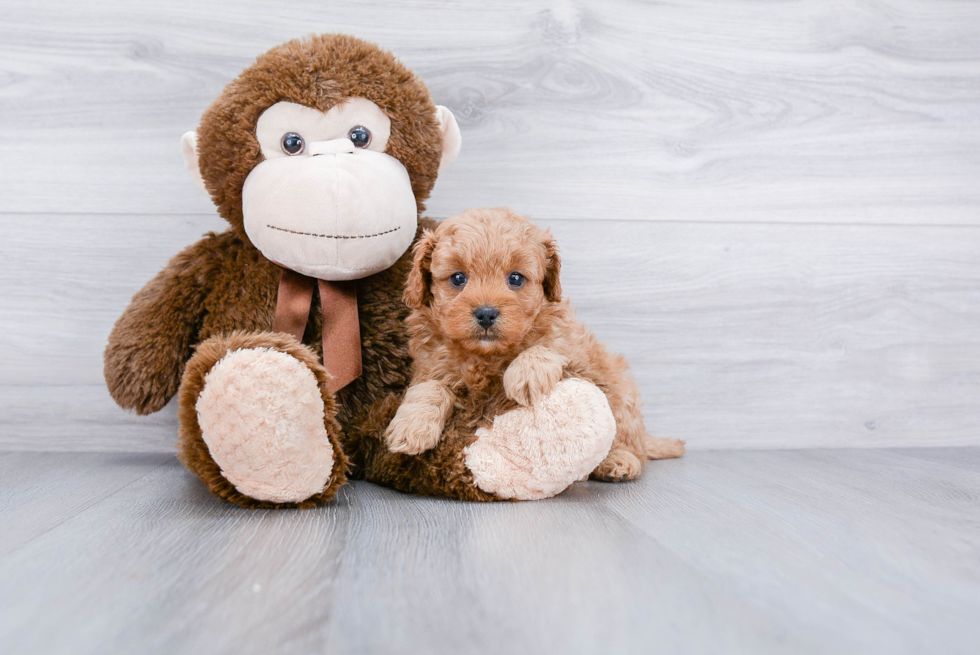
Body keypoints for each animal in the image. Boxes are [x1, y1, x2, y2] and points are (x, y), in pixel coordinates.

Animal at [382, 209, 680, 482]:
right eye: (458, 278)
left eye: (515, 278)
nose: (486, 313)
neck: (486, 356)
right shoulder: (431, 365)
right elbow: (429, 389)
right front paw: (411, 427)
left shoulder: (574, 351)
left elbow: (546, 346)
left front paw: (526, 374)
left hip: (622, 394)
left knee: (628, 441)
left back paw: (619, 460)